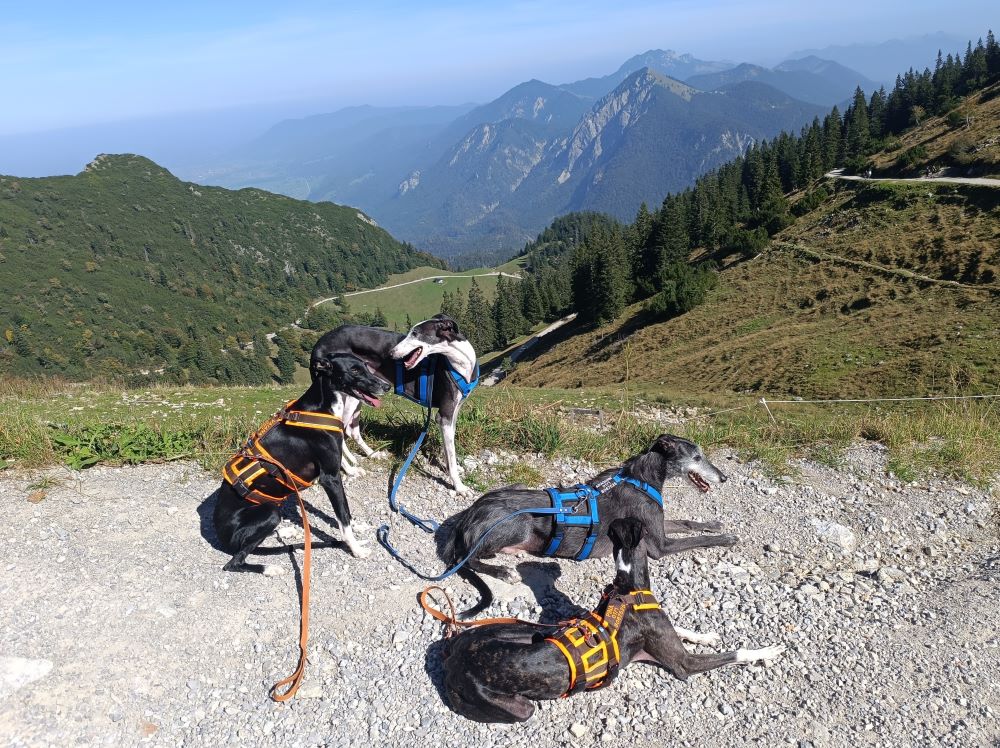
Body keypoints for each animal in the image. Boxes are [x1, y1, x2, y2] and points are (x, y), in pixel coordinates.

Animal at [214, 354, 390, 568]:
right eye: (354, 370)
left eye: (365, 365)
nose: (387, 386)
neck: (323, 408)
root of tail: (221, 536)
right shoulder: (330, 479)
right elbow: (343, 517)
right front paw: (355, 548)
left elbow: (346, 512)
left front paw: (356, 525)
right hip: (269, 511)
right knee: (235, 562)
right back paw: (270, 568)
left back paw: (284, 531)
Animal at [310, 314, 478, 490]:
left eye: (415, 333)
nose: (391, 353)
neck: (459, 361)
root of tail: (319, 344)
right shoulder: (444, 415)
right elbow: (451, 453)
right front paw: (459, 486)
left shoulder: (453, 412)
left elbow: (449, 449)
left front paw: (450, 469)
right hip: (346, 398)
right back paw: (350, 470)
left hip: (359, 395)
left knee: (351, 431)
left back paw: (371, 454)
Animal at [438, 436, 736, 616]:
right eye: (696, 457)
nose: (724, 477)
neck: (641, 478)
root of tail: (469, 514)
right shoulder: (659, 546)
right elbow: (697, 540)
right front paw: (727, 538)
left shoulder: (657, 527)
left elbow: (688, 522)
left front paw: (714, 523)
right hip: (519, 522)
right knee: (470, 558)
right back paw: (502, 570)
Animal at [442, 516, 784, 720]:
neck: (628, 586)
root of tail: (453, 657)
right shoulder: (683, 664)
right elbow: (735, 653)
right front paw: (768, 650)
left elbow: (683, 629)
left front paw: (706, 635)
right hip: (520, 708)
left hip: (526, 630)